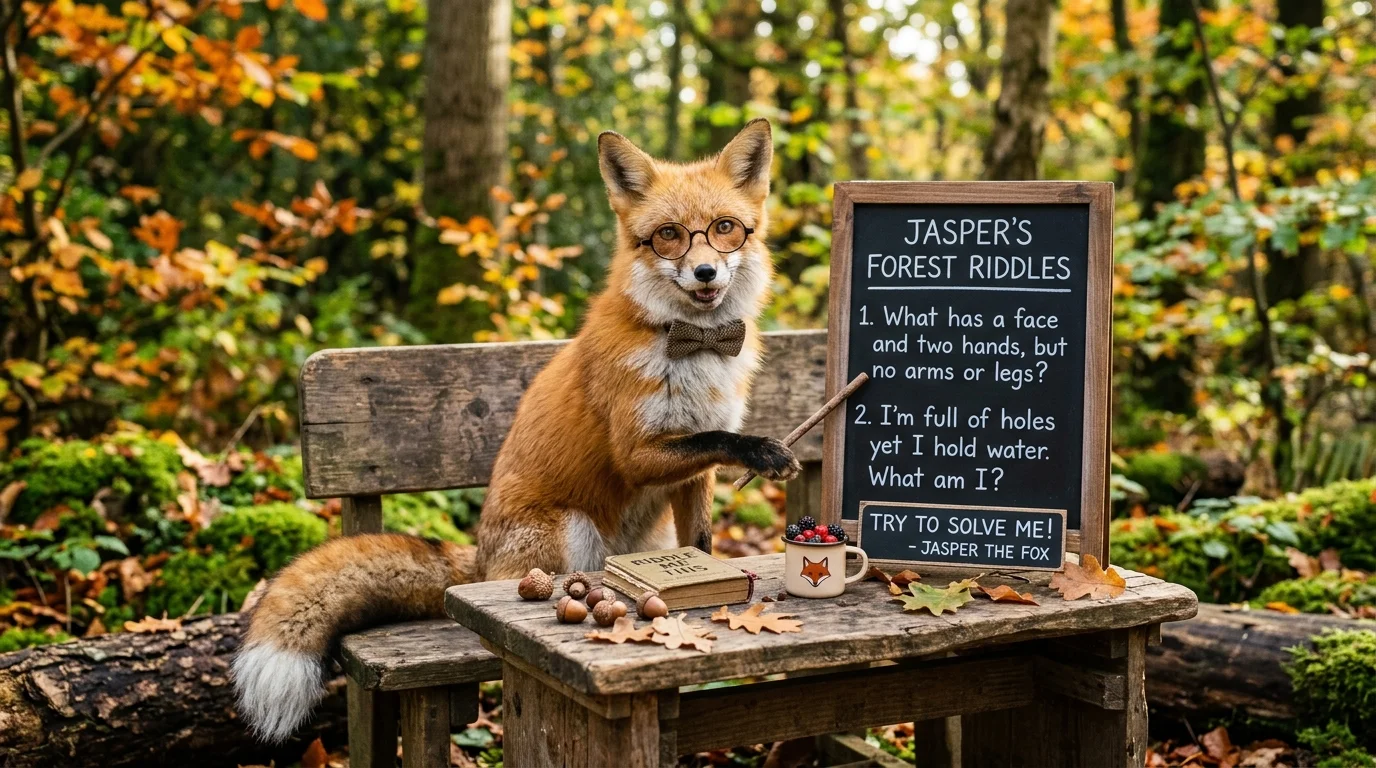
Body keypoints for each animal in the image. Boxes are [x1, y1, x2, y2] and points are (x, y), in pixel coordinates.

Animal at [232, 119, 801, 742]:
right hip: (573, 531)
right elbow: (714, 442)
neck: (694, 349)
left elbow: (700, 538)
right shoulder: (637, 451)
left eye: (724, 229)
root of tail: (478, 562)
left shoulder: (693, 474)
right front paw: (765, 452)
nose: (705, 272)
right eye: (670, 236)